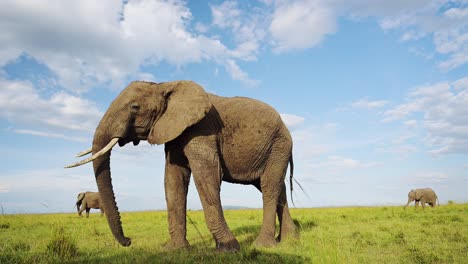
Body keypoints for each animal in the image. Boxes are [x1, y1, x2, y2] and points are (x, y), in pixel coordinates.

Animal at [66, 80, 296, 252]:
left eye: (134, 107)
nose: (129, 241)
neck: (165, 86)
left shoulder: (201, 129)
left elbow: (207, 176)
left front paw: (229, 249)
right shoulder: (174, 133)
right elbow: (173, 180)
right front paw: (175, 249)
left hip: (279, 144)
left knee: (269, 186)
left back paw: (264, 245)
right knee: (277, 187)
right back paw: (289, 239)